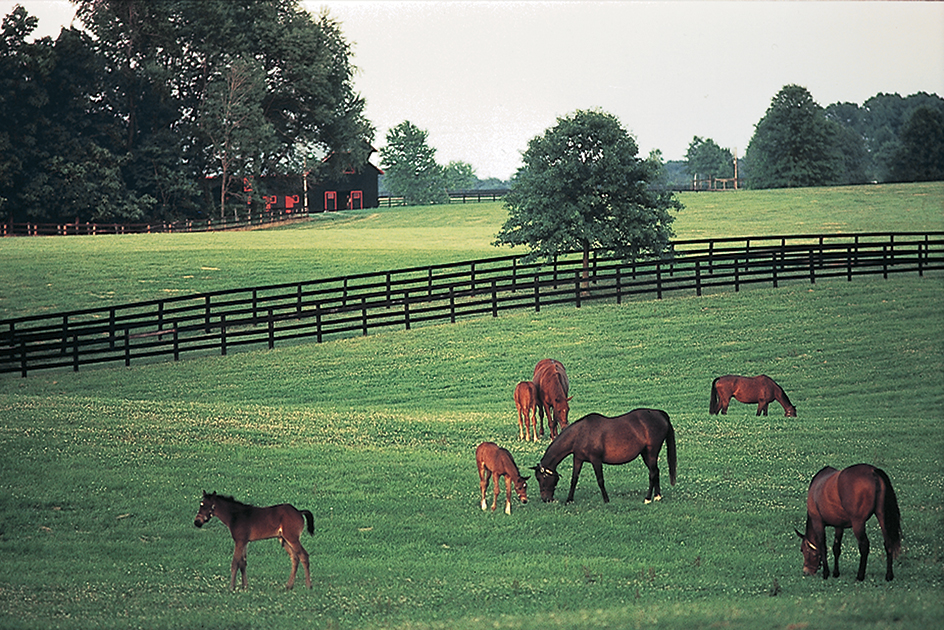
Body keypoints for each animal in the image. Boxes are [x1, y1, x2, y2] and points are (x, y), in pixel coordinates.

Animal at [532, 412, 680, 506]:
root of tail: (660, 414)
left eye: (541, 478)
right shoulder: (578, 459)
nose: (546, 499)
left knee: (652, 473)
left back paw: (648, 498)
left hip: (651, 452)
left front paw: (606, 500)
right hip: (646, 454)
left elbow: (600, 480)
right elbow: (574, 480)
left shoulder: (596, 460)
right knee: (656, 471)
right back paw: (657, 496)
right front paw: (569, 500)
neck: (580, 433)